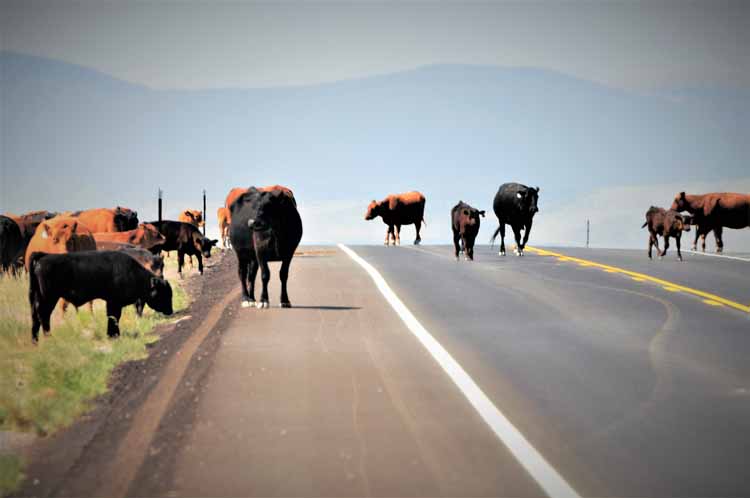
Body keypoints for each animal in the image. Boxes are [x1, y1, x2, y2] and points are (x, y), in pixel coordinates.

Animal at [27, 253, 173, 342]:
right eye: (164, 293)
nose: (170, 311)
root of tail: (42, 258)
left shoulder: (111, 302)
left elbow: (112, 317)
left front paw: (111, 335)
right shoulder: (114, 302)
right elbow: (114, 317)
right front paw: (114, 335)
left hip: (38, 298)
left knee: (35, 317)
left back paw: (36, 342)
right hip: (49, 298)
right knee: (44, 316)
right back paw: (49, 338)